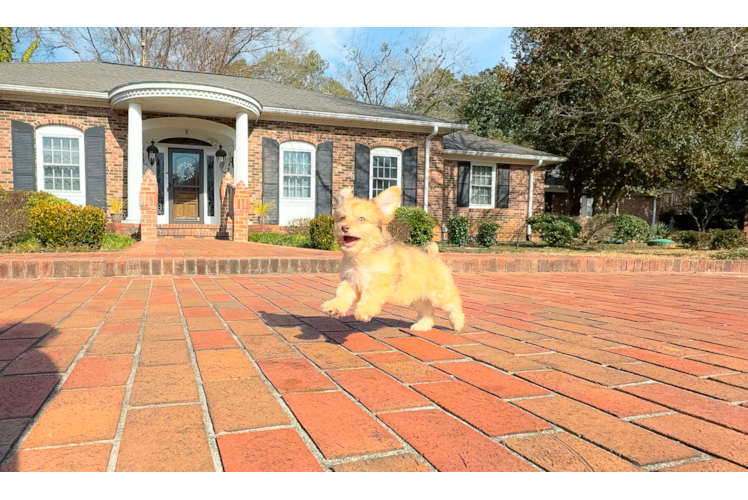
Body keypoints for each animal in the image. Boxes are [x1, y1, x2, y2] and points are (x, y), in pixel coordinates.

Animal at [320, 185, 462, 332]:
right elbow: (342, 294)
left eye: (362, 219)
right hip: (418, 296)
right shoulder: (351, 280)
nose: (344, 227)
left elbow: (371, 294)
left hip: (441, 293)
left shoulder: (382, 279)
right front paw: (334, 306)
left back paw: (457, 323)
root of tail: (433, 255)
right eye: (342, 218)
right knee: (427, 310)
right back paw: (422, 325)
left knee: (453, 304)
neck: (364, 254)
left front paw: (364, 311)